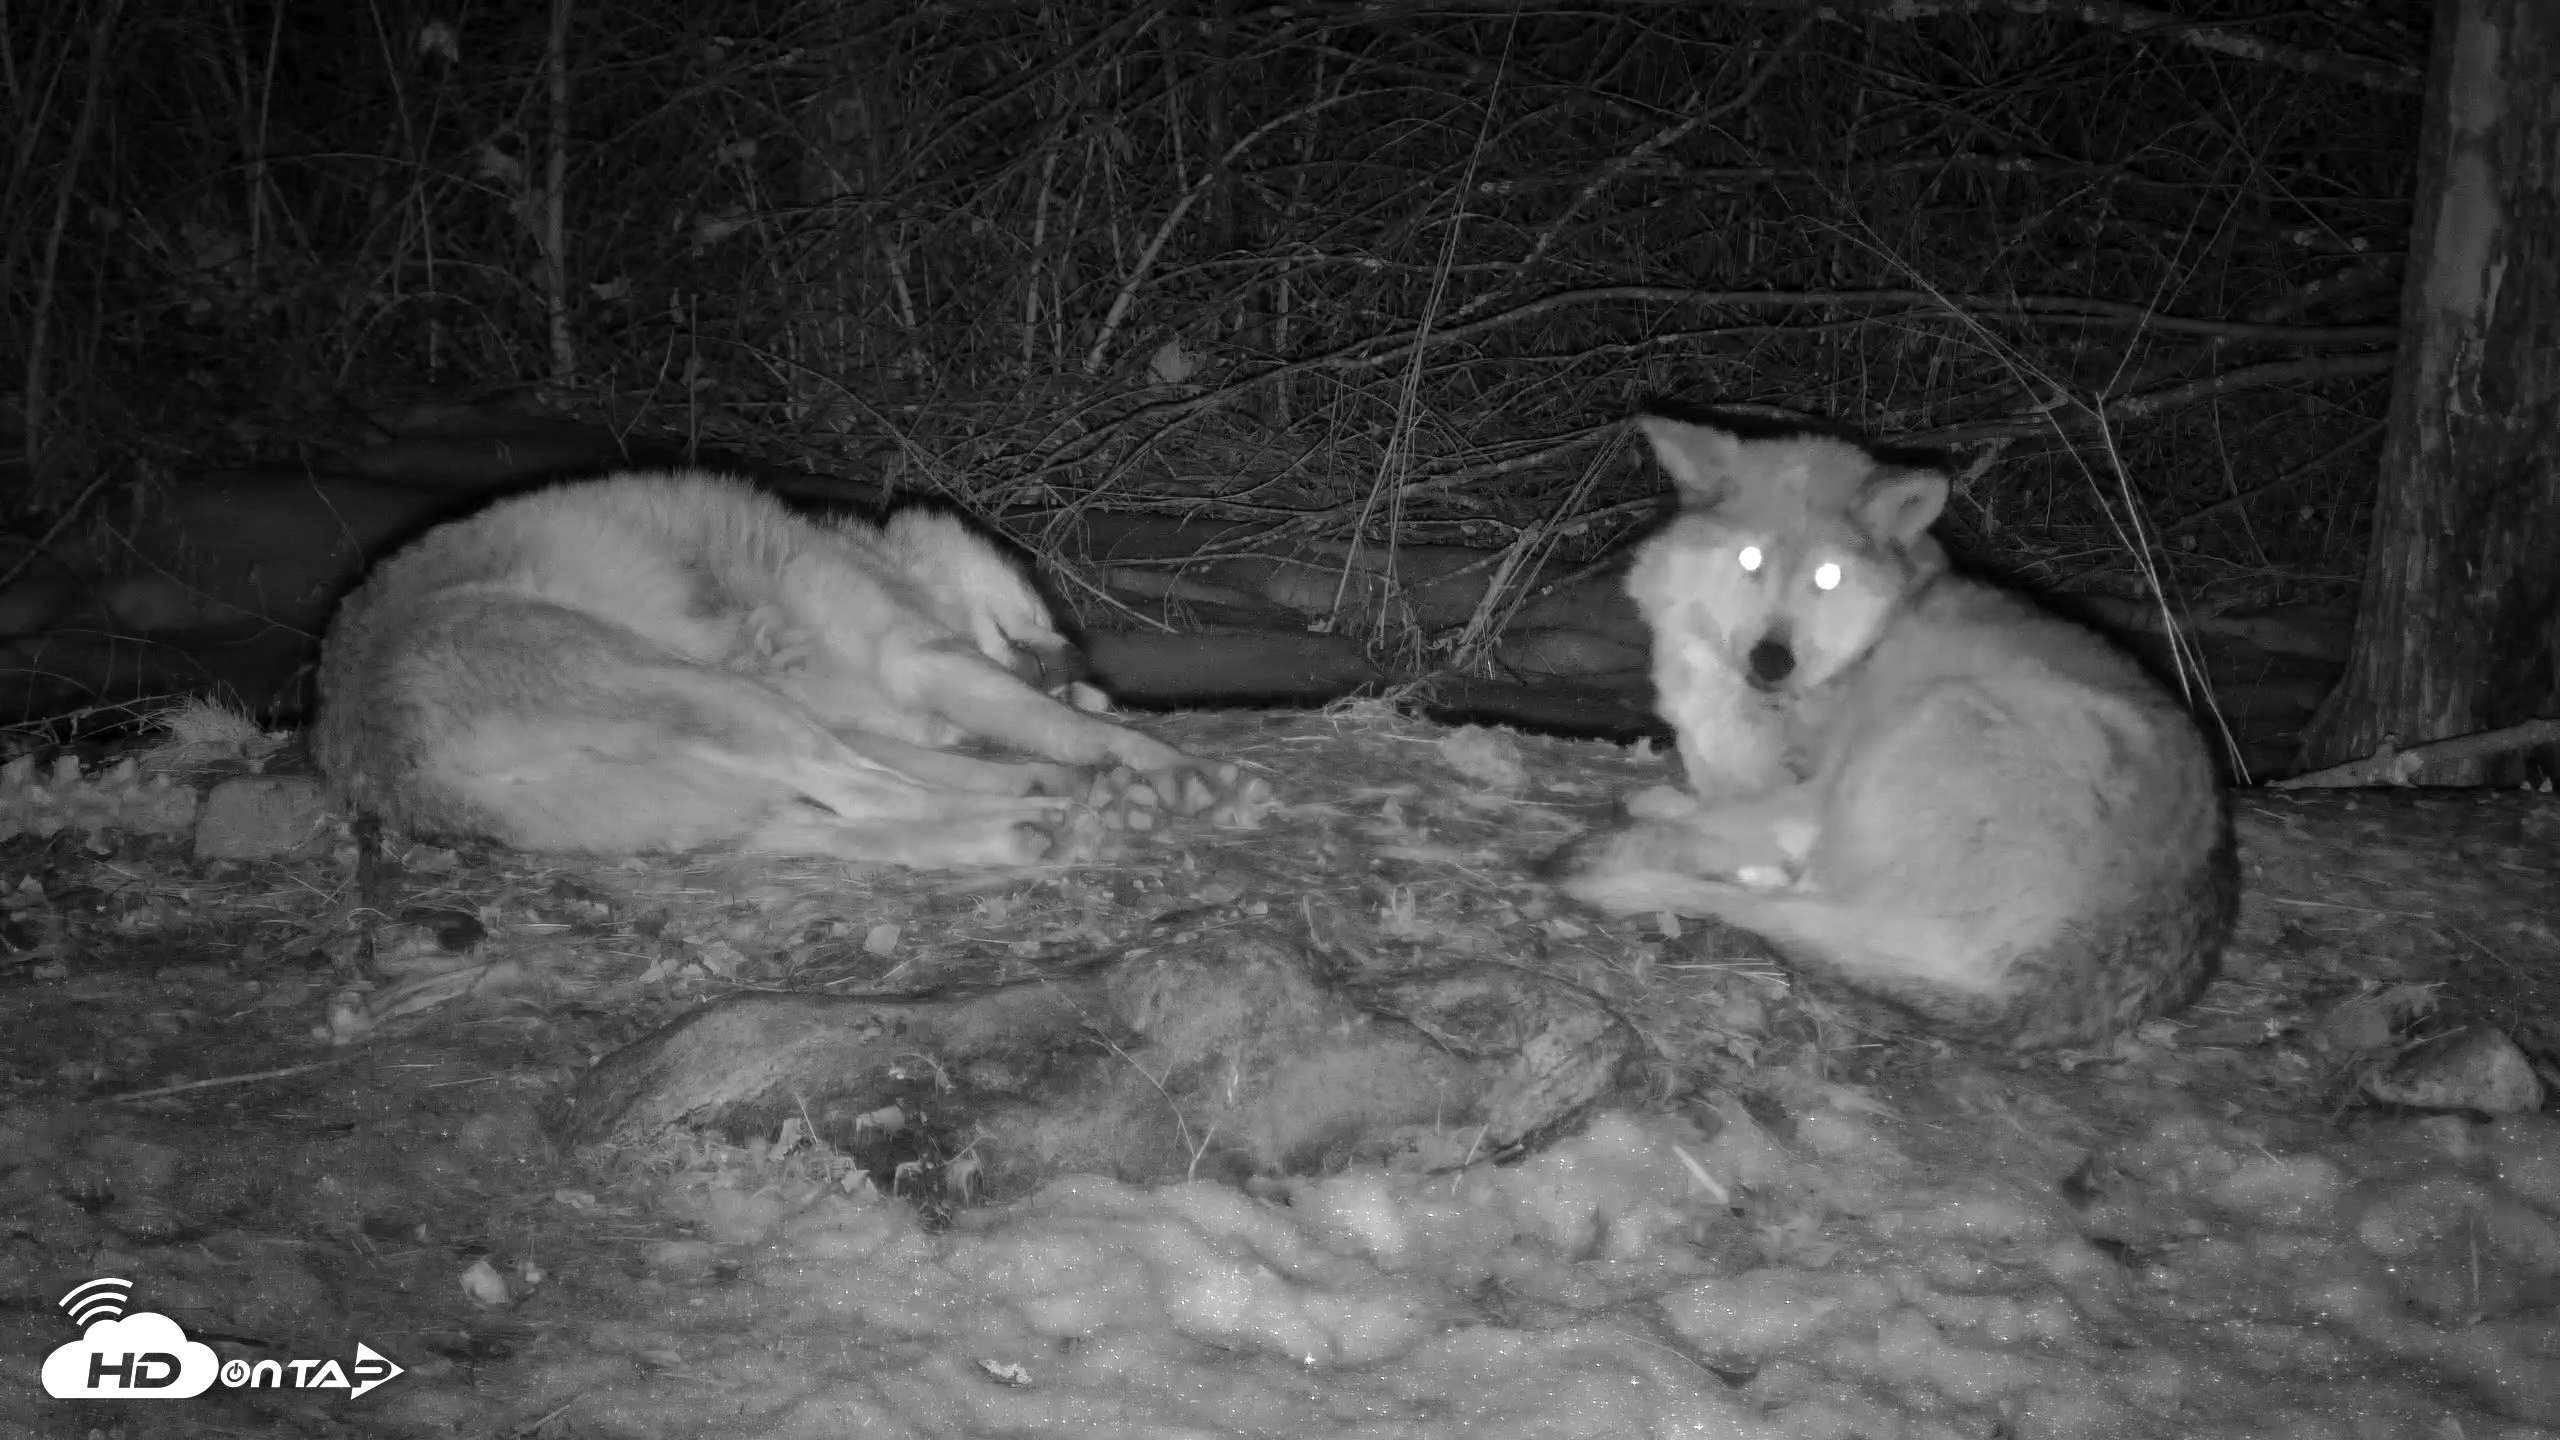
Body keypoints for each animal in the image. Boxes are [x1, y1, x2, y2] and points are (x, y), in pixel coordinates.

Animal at [314, 471, 1268, 869]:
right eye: (1042, 599)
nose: (1074, 658)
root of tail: (374, 764)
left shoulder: (888, 704)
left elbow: (995, 748)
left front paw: (1086, 773)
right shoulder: (927, 662)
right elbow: (1075, 731)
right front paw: (1178, 773)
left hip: (696, 786)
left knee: (840, 813)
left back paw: (1024, 831)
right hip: (706, 697)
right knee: (868, 794)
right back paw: (1047, 816)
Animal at [1554, 417, 2236, 1048]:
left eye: (1827, 577)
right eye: (1751, 560)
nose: (1772, 660)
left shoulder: (1810, 797)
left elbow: (1720, 822)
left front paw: (1658, 824)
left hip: (1944, 712)